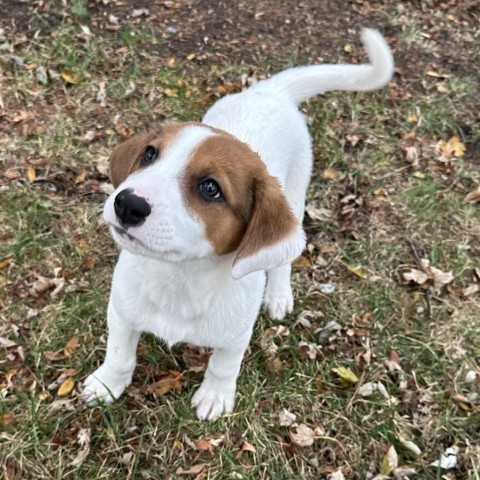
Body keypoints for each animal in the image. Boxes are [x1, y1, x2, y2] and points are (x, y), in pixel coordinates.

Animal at [81, 29, 390, 420]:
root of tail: (270, 92)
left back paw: (278, 295)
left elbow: (223, 365)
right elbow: (120, 355)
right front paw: (107, 384)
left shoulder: (235, 335)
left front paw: (215, 396)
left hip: (297, 193)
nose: (127, 204)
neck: (180, 278)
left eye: (210, 188)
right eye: (150, 154)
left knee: (284, 261)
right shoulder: (121, 312)